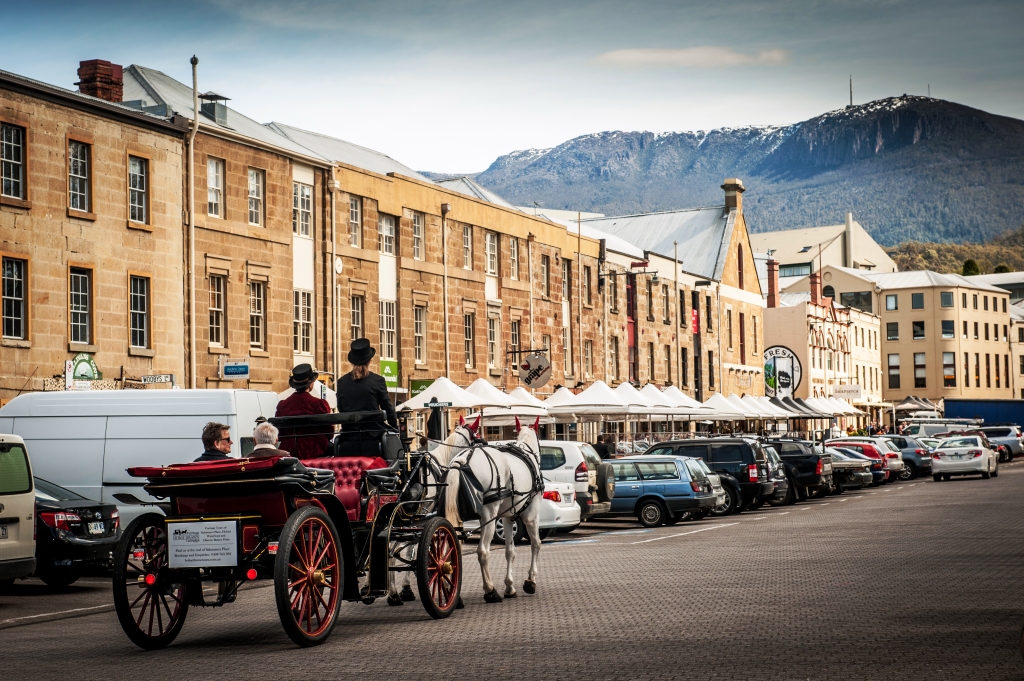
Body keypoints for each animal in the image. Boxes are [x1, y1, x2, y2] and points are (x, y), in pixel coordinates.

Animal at [448, 413, 544, 602]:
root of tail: (463, 459)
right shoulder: (531, 516)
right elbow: (536, 544)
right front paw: (530, 581)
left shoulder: (507, 518)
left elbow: (510, 551)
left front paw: (510, 586)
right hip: (488, 516)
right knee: (483, 551)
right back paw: (490, 590)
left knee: (451, 548)